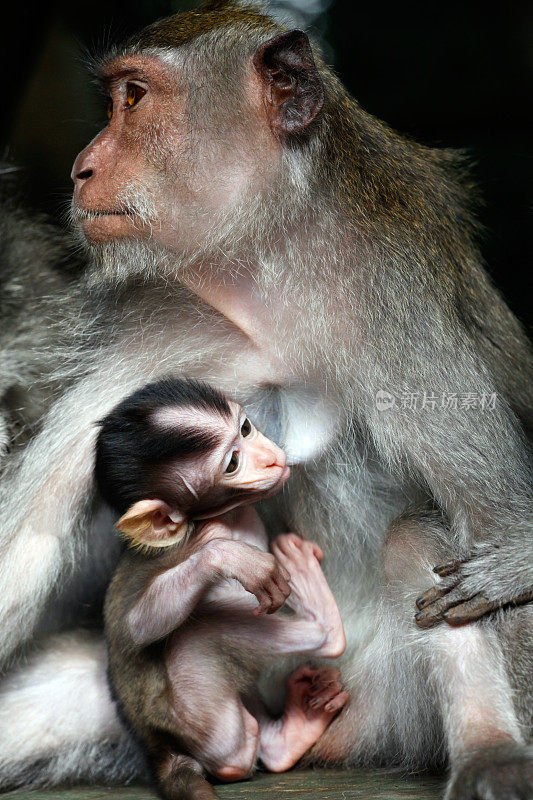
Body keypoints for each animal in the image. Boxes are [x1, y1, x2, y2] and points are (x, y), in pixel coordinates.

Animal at [96, 380, 350, 800]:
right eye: (232, 464)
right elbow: (136, 626)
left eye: (245, 428)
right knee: (203, 630)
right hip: (202, 715)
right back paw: (324, 625)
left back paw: (294, 728)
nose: (270, 459)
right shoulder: (191, 541)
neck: (227, 515)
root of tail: (160, 750)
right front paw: (230, 558)